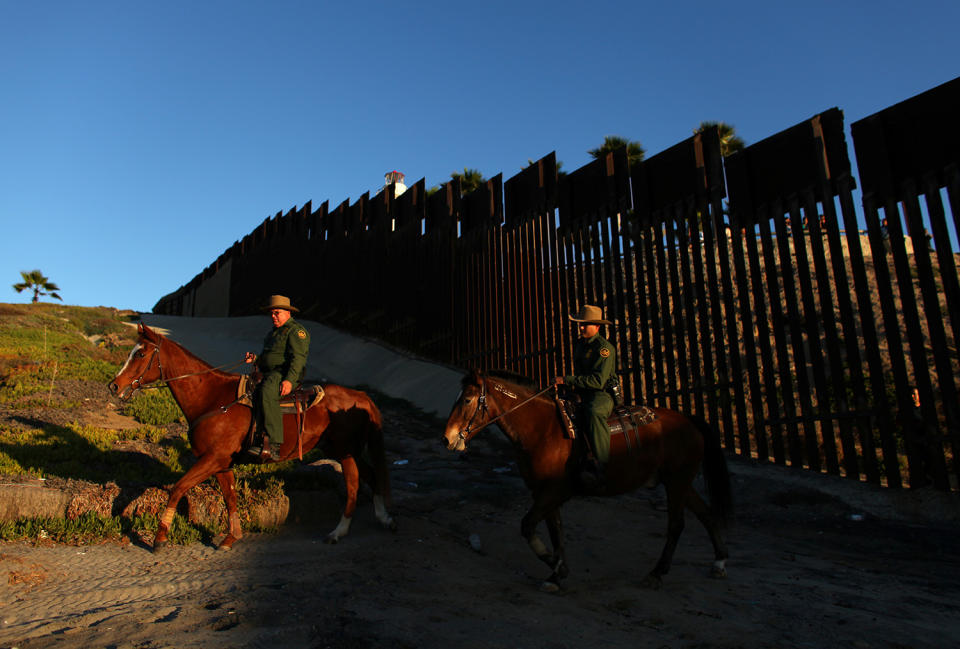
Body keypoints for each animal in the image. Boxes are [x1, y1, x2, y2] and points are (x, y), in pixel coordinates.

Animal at [110, 322, 396, 548]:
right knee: (371, 475)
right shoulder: (221, 463)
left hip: (346, 451)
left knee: (354, 484)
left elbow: (178, 488)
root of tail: (361, 397)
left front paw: (160, 537)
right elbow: (230, 497)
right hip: (342, 449)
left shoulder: (212, 459)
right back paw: (383, 518)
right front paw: (231, 537)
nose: (115, 385)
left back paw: (338, 531)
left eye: (141, 353)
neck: (213, 398)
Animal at [444, 368, 736, 588]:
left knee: (676, 524)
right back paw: (720, 562)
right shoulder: (543, 492)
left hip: (677, 481)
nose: (448, 438)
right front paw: (557, 571)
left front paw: (554, 564)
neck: (544, 429)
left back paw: (657, 573)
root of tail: (689, 420)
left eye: (467, 400)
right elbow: (556, 530)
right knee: (706, 514)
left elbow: (528, 526)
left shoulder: (555, 491)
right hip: (679, 481)